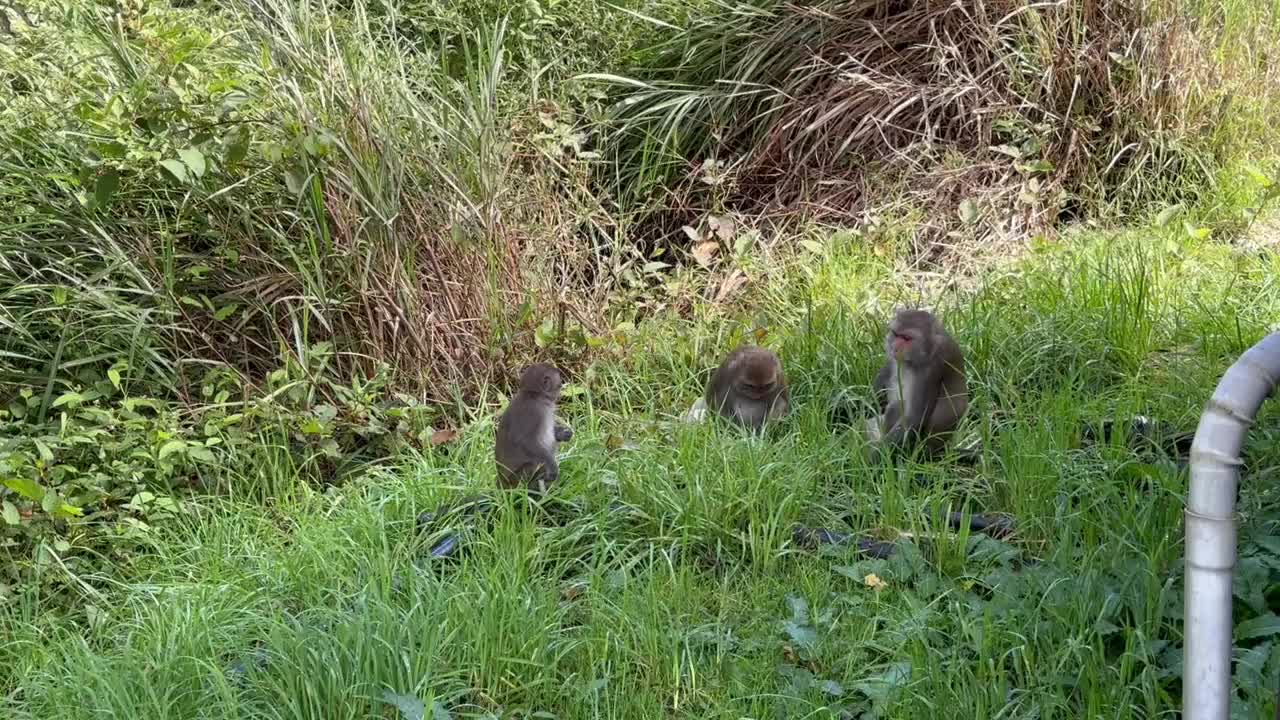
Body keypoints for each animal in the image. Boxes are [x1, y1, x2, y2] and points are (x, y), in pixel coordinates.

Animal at [491, 363, 573, 491]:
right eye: (559, 379)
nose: (562, 383)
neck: (534, 395)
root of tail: (501, 483)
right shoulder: (535, 411)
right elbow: (527, 442)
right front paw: (552, 466)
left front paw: (564, 434)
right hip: (515, 479)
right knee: (536, 464)